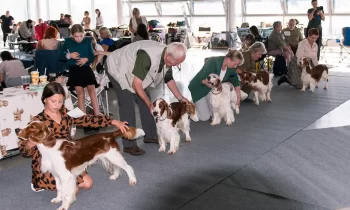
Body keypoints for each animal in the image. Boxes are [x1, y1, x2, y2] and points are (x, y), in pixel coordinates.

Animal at [16, 121, 145, 210]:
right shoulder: (56, 175)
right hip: (110, 156)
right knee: (117, 167)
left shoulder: (66, 176)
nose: (16, 129)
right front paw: (58, 199)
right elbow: (59, 189)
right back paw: (115, 176)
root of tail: (110, 134)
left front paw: (64, 206)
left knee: (128, 167)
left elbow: (66, 193)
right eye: (28, 124)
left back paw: (132, 180)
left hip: (114, 156)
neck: (48, 148)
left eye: (32, 127)